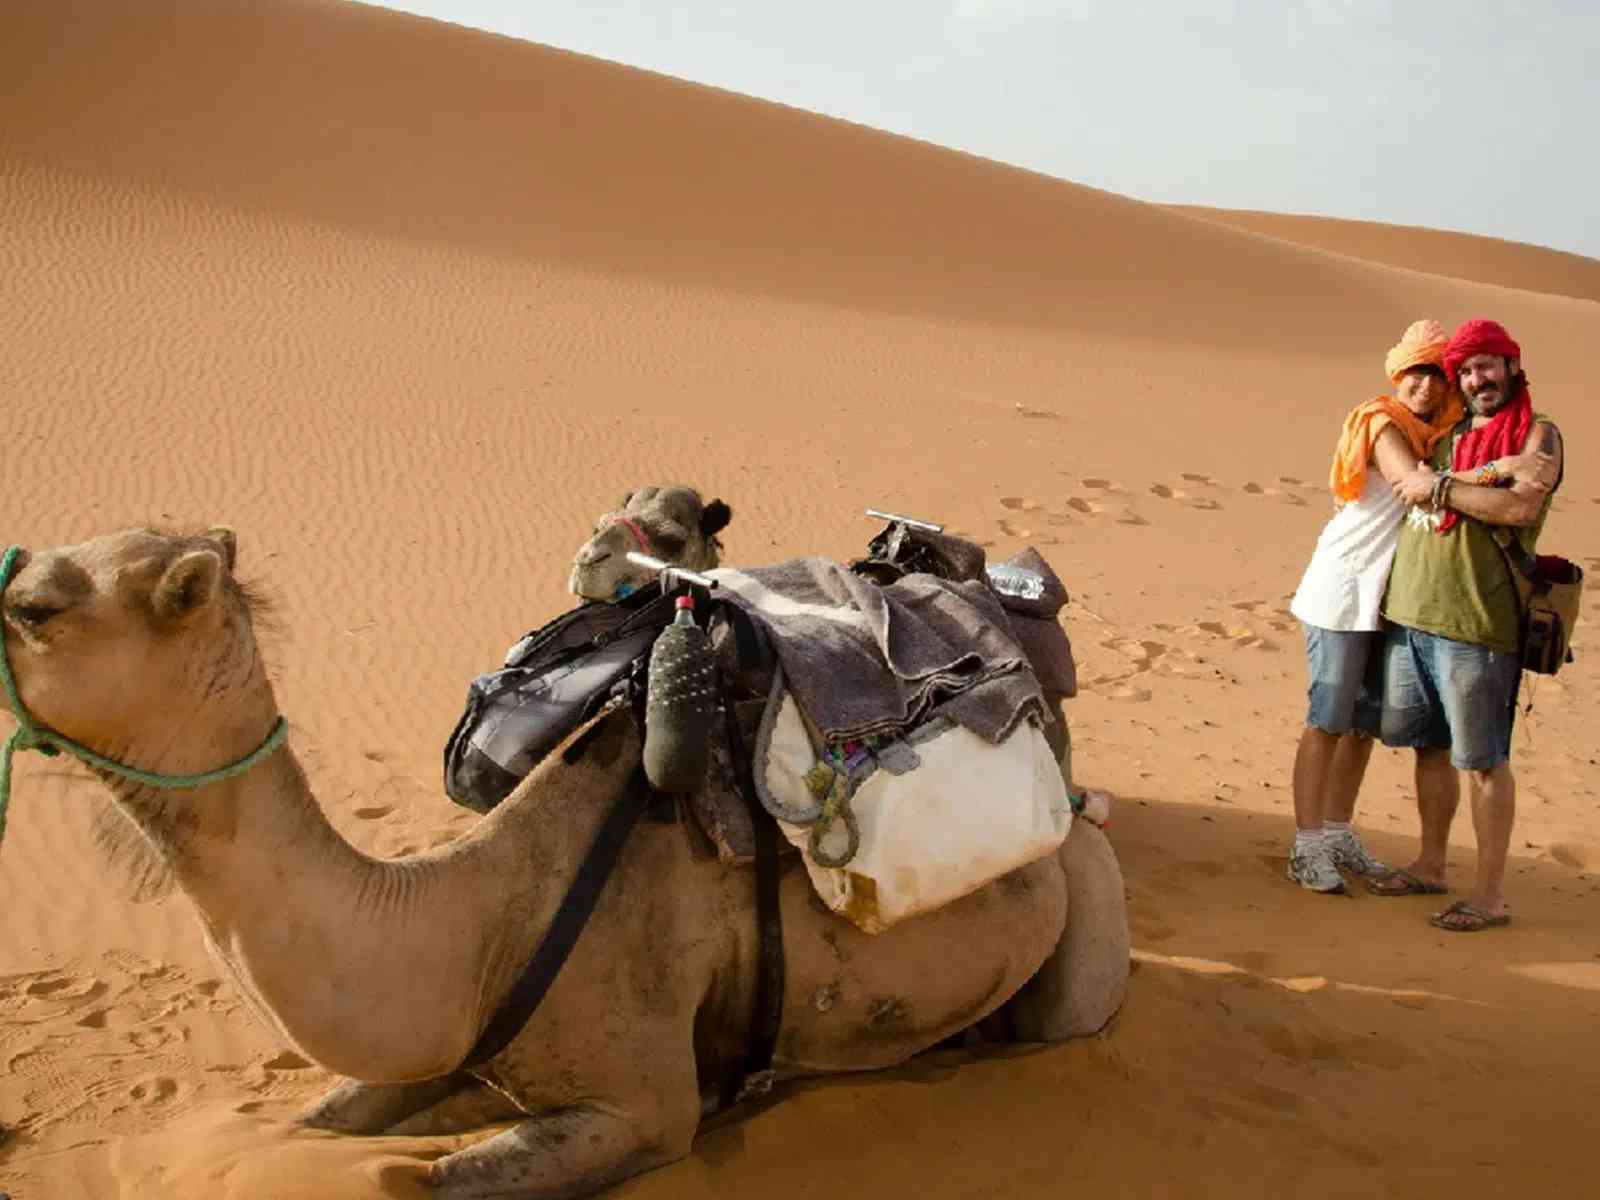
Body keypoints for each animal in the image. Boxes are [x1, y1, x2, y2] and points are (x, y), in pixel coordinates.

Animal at [0, 527, 1129, 1200]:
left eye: (35, 610)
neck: (478, 921)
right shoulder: (451, 1043)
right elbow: (323, 1121)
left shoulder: (644, 1108)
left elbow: (410, 1179)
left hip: (1084, 910)